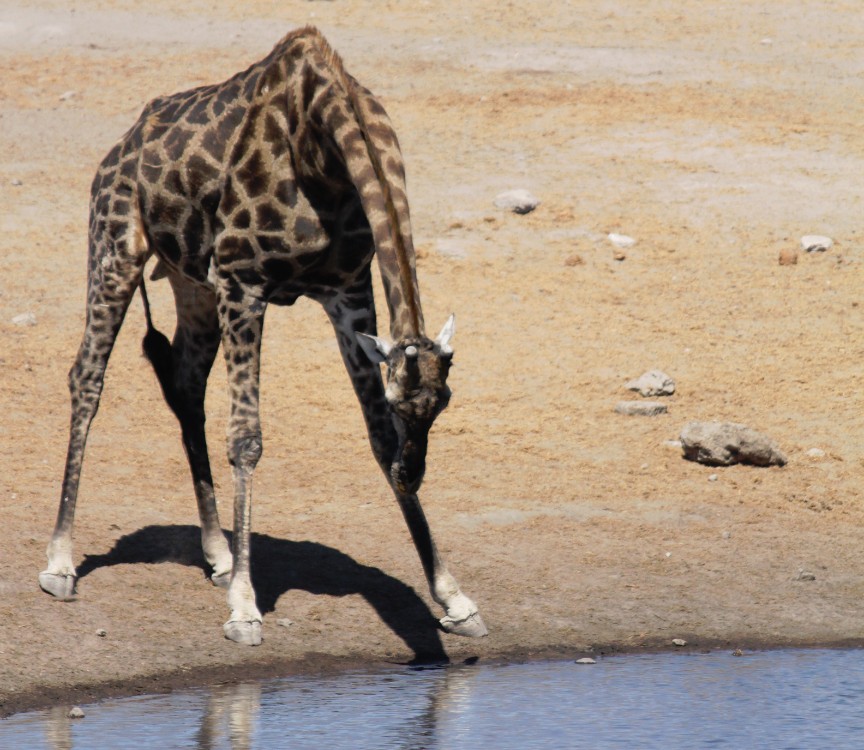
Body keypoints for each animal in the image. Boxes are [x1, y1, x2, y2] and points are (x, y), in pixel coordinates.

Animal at [40, 27, 486, 648]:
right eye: (406, 404)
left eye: (441, 404)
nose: (411, 473)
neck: (321, 149)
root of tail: (119, 148)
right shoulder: (243, 283)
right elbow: (247, 439)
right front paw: (244, 609)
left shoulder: (347, 290)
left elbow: (374, 436)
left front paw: (454, 598)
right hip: (115, 248)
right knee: (87, 377)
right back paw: (60, 563)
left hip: (191, 282)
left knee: (185, 383)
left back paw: (219, 553)